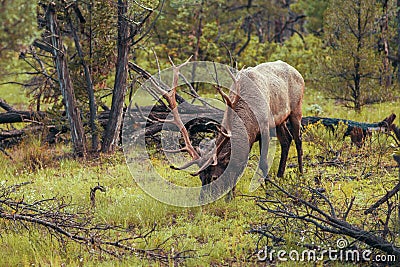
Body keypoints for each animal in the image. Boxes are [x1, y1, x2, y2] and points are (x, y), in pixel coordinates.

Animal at [153, 59, 304, 201]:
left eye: (214, 177)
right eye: (201, 178)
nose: (203, 199)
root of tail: (297, 72)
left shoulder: (265, 128)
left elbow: (263, 164)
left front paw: (268, 193)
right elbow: (240, 166)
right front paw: (231, 197)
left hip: (296, 109)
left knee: (298, 140)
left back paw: (301, 175)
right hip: (280, 121)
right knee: (286, 140)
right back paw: (280, 176)